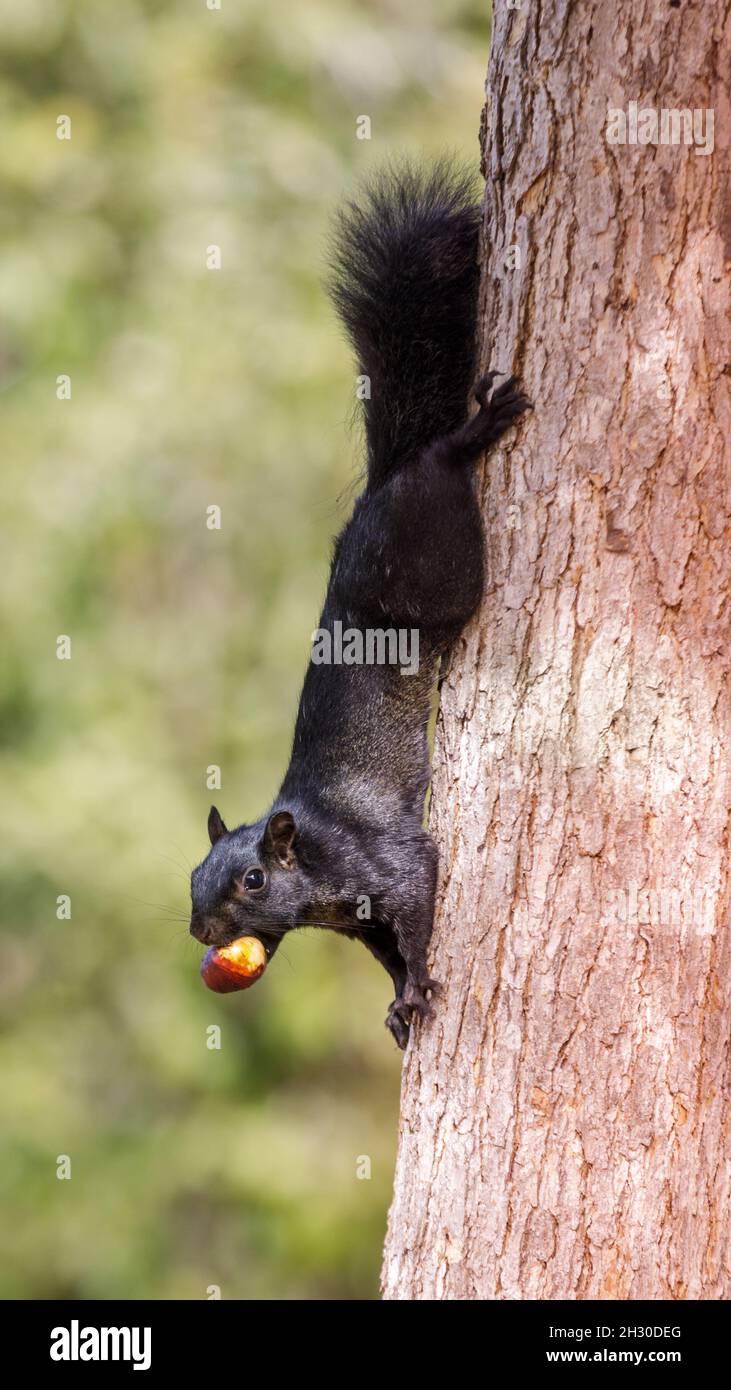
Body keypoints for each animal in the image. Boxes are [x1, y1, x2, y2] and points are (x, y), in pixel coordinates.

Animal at [191, 162, 530, 1045]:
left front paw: (420, 986)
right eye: (192, 876)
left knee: (446, 460)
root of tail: (387, 480)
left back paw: (478, 428)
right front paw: (398, 999)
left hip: (437, 562)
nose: (201, 932)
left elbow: (418, 906)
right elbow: (386, 949)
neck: (312, 867)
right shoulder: (358, 917)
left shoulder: (386, 863)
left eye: (249, 881)